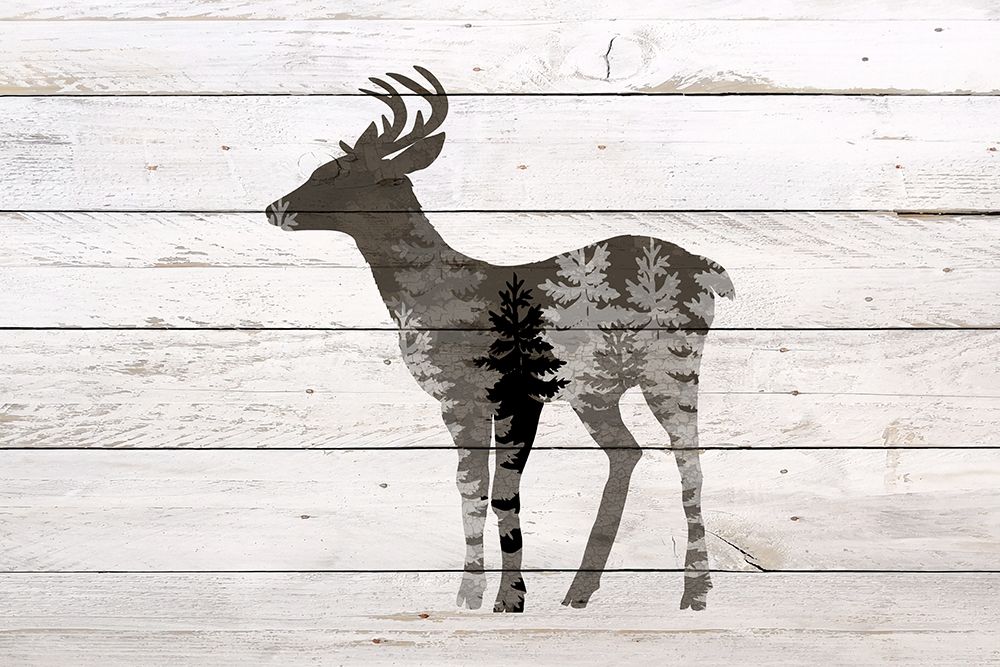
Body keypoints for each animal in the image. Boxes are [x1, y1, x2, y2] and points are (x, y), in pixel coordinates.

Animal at [266, 67, 734, 613]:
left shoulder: (516, 392)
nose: (274, 208)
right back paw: (579, 591)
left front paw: (510, 599)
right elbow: (471, 489)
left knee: (689, 461)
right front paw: (470, 594)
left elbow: (505, 493)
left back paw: (694, 592)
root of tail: (710, 269)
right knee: (628, 452)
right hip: (596, 392)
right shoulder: (457, 401)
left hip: (674, 363)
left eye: (333, 173)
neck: (439, 295)